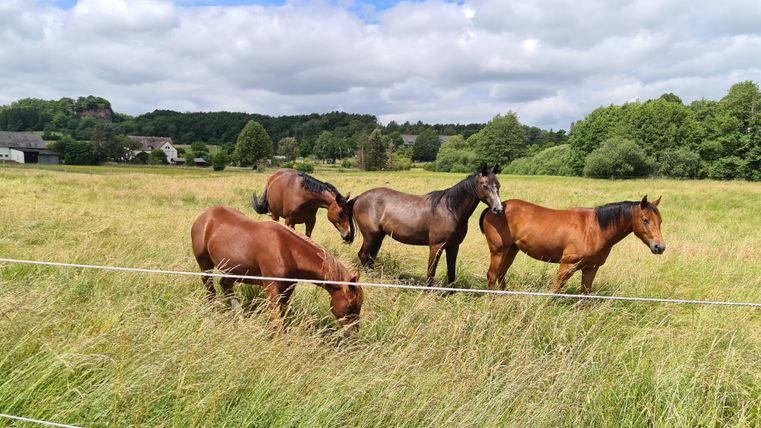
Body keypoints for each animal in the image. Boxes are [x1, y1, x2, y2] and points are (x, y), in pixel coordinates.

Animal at [191, 207, 363, 335]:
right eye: (351, 305)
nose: (352, 333)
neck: (287, 249)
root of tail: (205, 216)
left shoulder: (287, 289)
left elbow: (283, 314)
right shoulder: (271, 289)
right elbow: (277, 320)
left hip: (233, 271)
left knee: (225, 285)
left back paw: (239, 317)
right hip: (205, 265)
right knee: (210, 288)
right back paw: (214, 310)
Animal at [347, 164, 504, 287]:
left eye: (498, 186)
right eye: (484, 186)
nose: (498, 209)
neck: (450, 210)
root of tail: (359, 198)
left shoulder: (453, 246)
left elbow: (451, 270)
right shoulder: (436, 246)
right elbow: (431, 271)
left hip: (378, 237)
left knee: (370, 259)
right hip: (370, 236)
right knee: (363, 256)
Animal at [479, 195, 665, 294]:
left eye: (660, 221)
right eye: (645, 220)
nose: (660, 247)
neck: (594, 228)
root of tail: (495, 208)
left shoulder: (590, 268)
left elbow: (585, 294)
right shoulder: (567, 265)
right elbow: (555, 290)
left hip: (511, 251)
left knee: (501, 275)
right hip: (498, 252)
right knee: (492, 276)